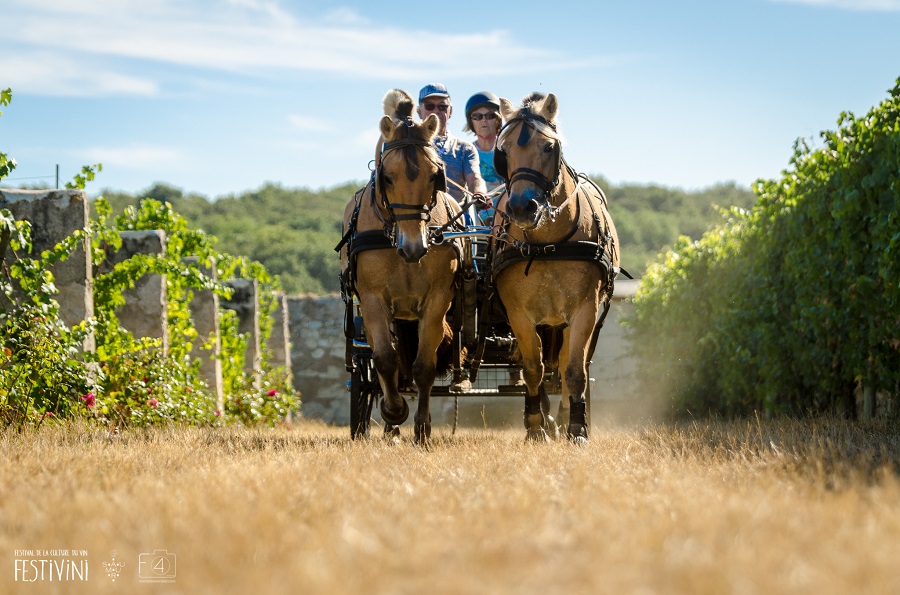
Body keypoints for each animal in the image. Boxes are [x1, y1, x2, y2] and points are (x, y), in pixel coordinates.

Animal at [340, 87, 464, 442]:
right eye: (387, 176)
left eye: (435, 175)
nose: (413, 247)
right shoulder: (372, 300)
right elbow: (385, 360)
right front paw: (394, 412)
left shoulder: (437, 299)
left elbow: (423, 366)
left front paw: (422, 427)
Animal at [492, 89, 620, 442]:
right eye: (503, 151)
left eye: (549, 147)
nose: (522, 207)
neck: (546, 244)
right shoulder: (519, 314)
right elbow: (533, 368)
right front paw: (536, 426)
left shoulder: (585, 309)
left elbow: (573, 369)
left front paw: (576, 427)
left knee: (564, 364)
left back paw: (562, 417)